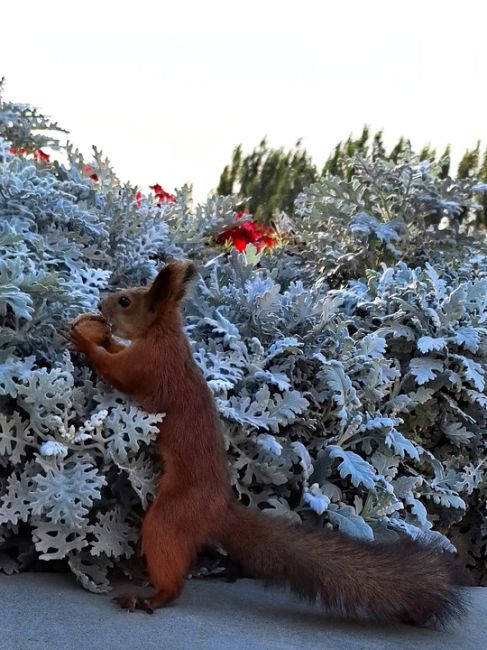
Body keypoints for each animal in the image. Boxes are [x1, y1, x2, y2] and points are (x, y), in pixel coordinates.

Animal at [62, 260, 468, 624]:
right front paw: (99, 333)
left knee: (171, 574)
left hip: (170, 516)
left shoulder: (148, 366)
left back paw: (151, 597)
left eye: (126, 301)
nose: (101, 303)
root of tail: (219, 510)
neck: (165, 335)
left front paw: (84, 339)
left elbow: (116, 370)